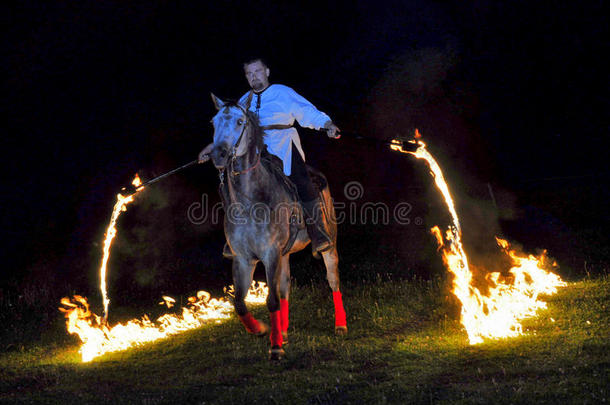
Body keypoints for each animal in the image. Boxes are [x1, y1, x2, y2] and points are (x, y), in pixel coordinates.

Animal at [208, 93, 344, 358]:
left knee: (332, 278)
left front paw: (275, 348)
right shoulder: (243, 258)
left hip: (329, 243)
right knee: (285, 289)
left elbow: (270, 300)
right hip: (285, 254)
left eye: (240, 121)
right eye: (214, 122)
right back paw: (284, 331)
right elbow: (239, 303)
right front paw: (261, 330)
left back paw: (340, 325)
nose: (219, 155)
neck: (251, 201)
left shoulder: (270, 254)